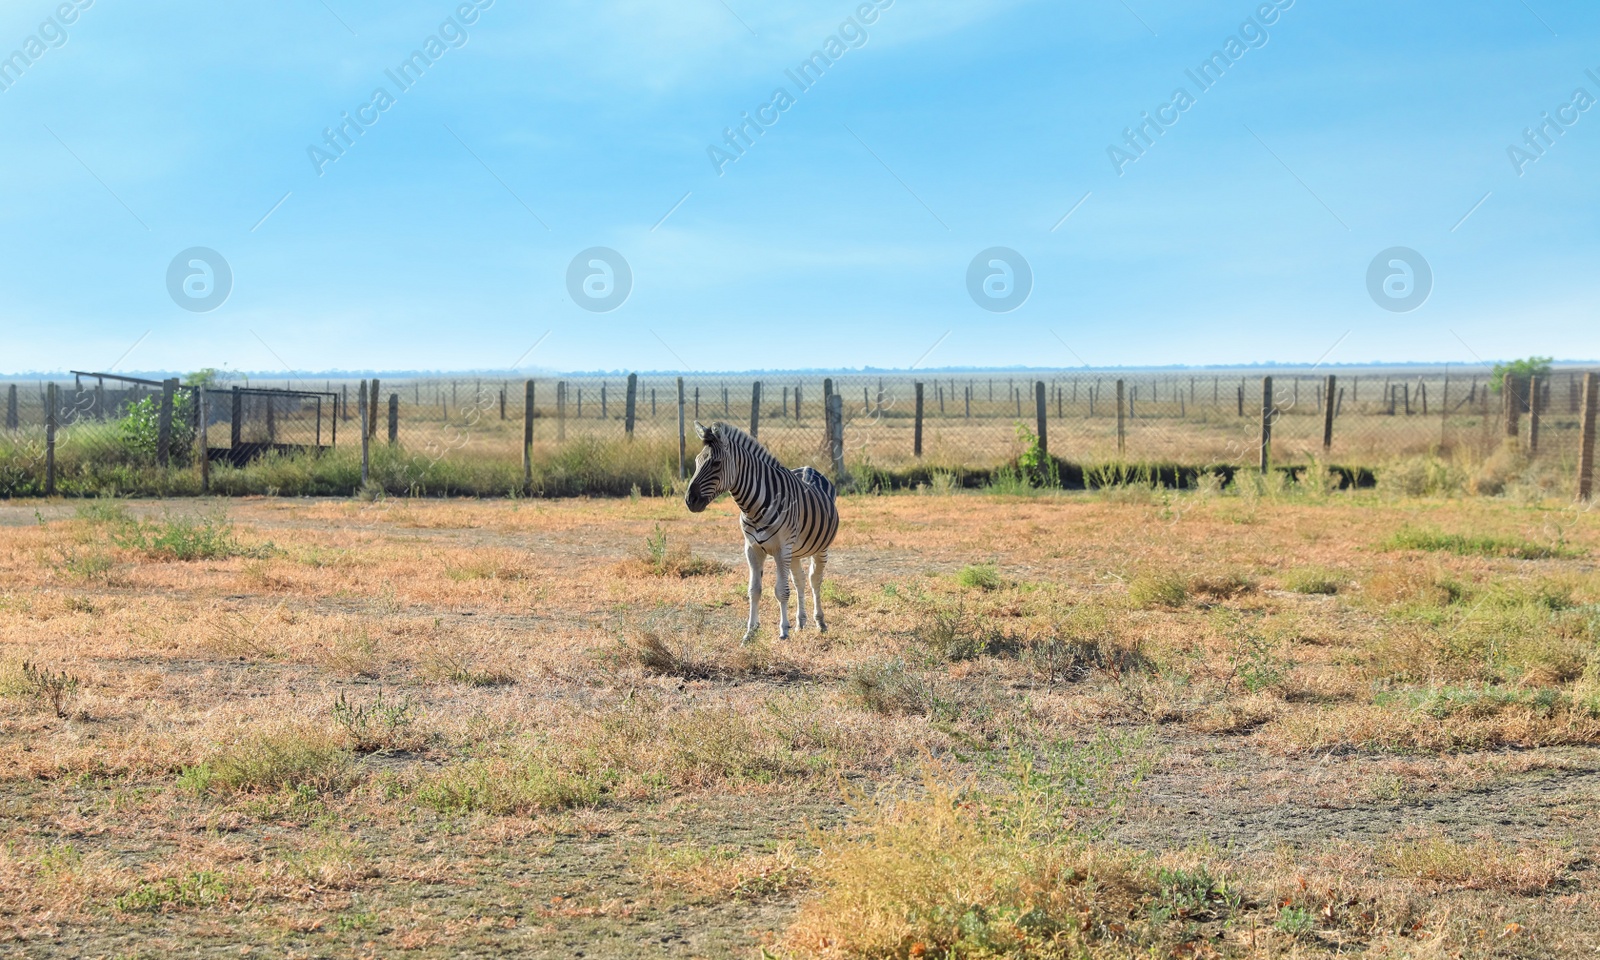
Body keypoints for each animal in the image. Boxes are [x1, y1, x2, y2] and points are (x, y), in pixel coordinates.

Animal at [684, 422, 844, 640]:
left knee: (815, 580)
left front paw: (783, 631)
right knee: (800, 580)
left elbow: (782, 591)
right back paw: (800, 622)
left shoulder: (781, 550)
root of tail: (808, 468)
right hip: (795, 551)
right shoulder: (752, 549)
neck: (753, 507)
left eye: (716, 464)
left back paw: (820, 622)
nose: (689, 500)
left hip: (819, 548)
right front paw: (750, 632)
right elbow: (754, 590)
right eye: (696, 461)